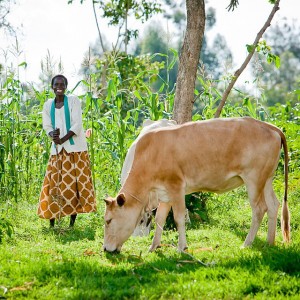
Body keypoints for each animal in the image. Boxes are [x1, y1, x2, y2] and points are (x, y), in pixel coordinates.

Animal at [103, 117, 290, 253]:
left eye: (108, 220)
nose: (105, 249)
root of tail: (270, 126)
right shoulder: (164, 193)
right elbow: (160, 218)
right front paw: (153, 247)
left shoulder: (176, 187)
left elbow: (179, 218)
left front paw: (182, 248)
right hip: (267, 179)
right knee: (273, 205)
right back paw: (269, 242)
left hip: (254, 179)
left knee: (259, 209)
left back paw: (247, 243)